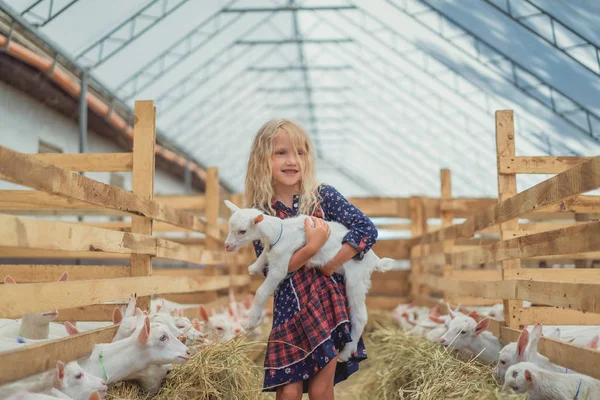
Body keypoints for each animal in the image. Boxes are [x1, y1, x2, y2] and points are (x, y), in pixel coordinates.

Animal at [221, 202, 394, 360]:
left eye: (242, 231)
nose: (227, 246)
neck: (280, 232)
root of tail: (375, 260)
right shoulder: (272, 251)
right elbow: (265, 253)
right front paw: (254, 267)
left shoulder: (280, 266)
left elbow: (261, 292)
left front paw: (250, 322)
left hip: (356, 278)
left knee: (360, 316)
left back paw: (345, 353)